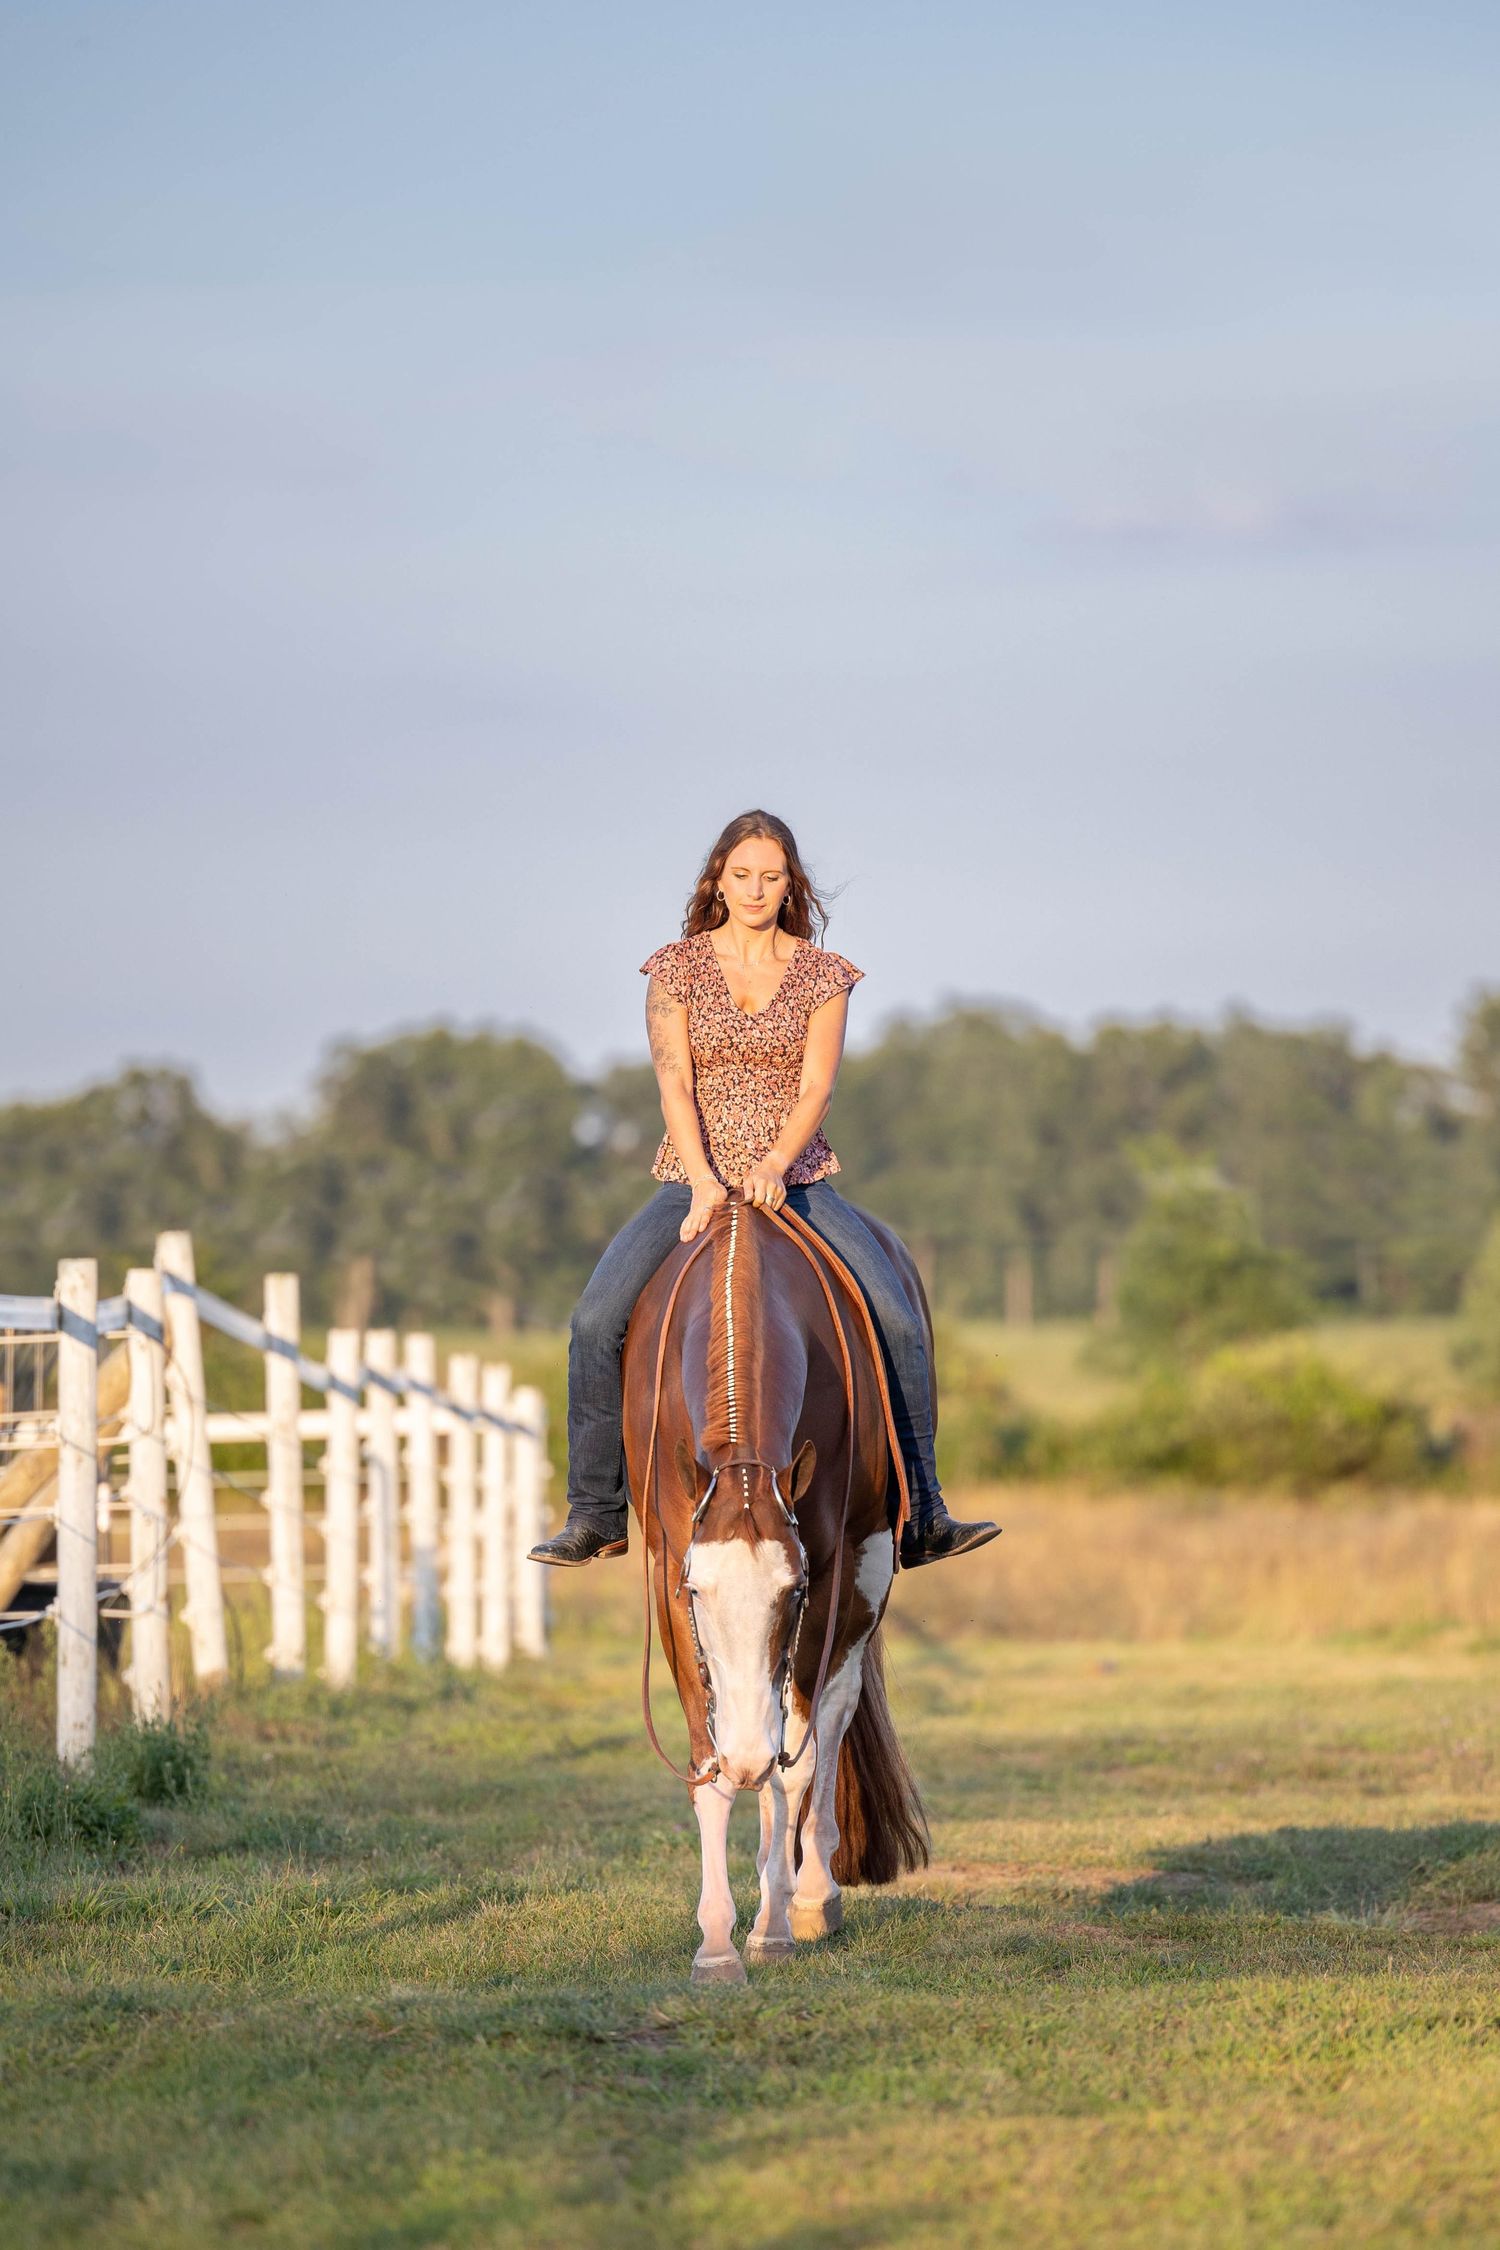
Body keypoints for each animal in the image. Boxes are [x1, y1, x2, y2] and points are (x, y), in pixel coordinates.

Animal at [622, 1196, 930, 1985]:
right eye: (699, 1594)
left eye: (791, 1595)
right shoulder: (669, 1569)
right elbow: (712, 1764)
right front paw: (717, 1944)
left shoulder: (829, 1570)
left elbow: (800, 1759)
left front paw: (774, 1926)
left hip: (867, 1574)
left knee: (825, 1721)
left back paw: (809, 1894)